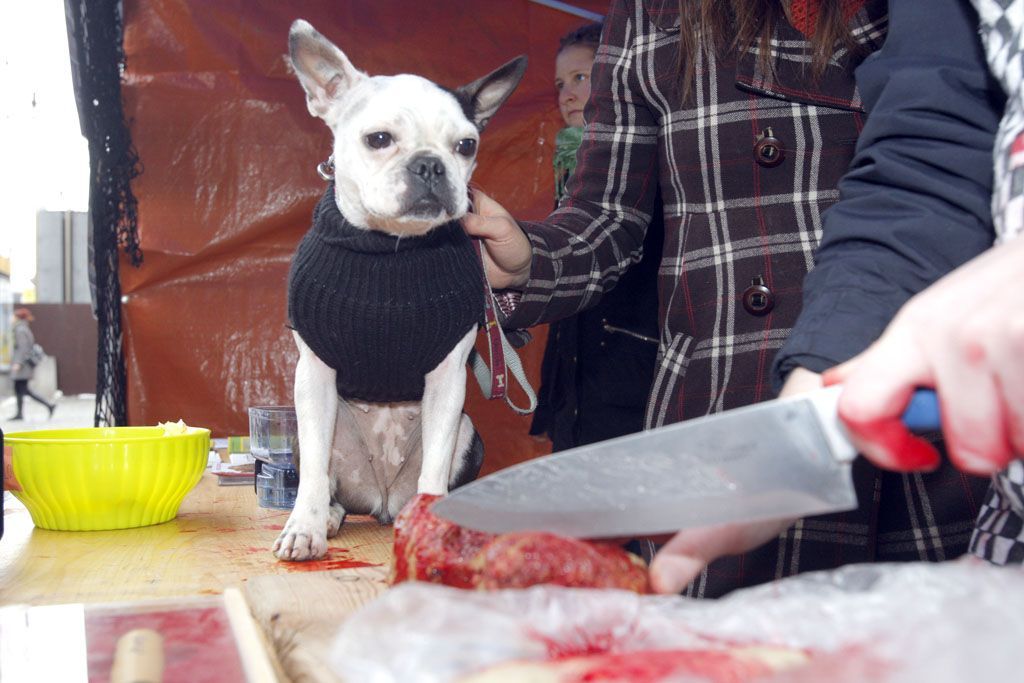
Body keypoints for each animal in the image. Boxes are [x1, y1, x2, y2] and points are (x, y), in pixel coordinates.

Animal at [274, 20, 528, 561]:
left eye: (467, 146)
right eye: (379, 139)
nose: (430, 165)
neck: (390, 249)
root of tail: (384, 500)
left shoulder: (448, 379)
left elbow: (435, 467)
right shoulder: (313, 375)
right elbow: (311, 477)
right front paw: (303, 527)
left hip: (468, 434)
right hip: (319, 437)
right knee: (326, 481)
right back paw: (328, 518)